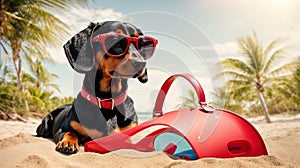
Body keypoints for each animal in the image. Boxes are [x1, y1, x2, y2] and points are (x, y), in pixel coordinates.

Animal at [36, 20, 158, 154]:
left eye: (142, 44)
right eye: (115, 41)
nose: (141, 63)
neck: (107, 101)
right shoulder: (64, 129)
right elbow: (69, 132)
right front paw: (68, 142)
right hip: (45, 123)